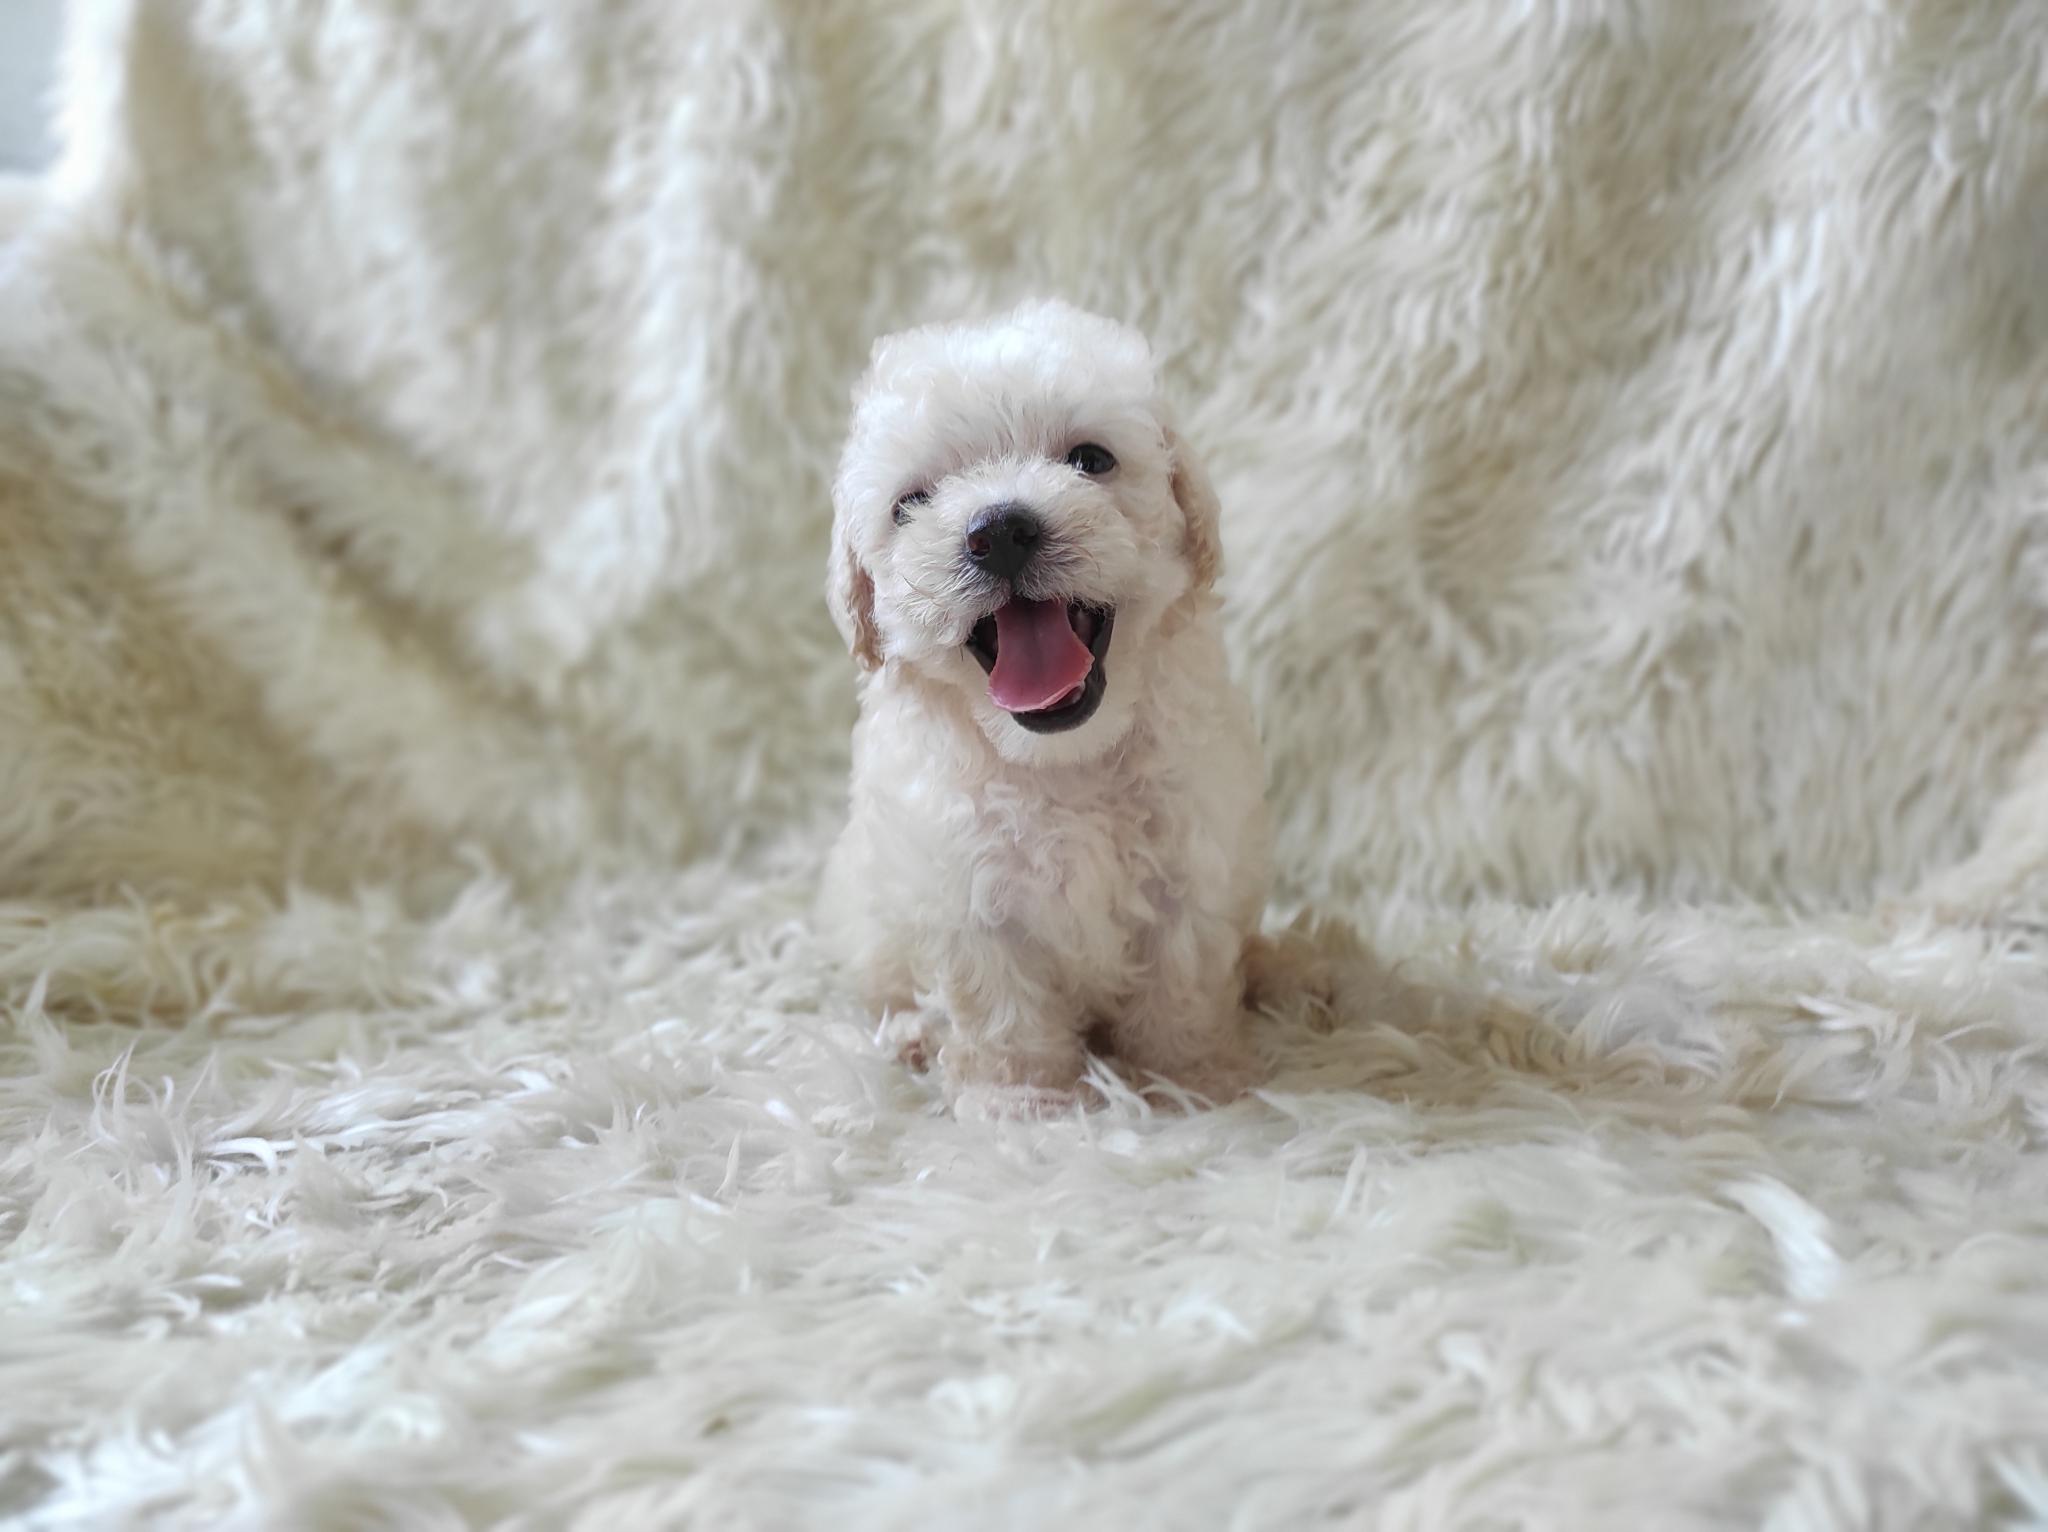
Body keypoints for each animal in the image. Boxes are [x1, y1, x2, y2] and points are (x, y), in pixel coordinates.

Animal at [818, 299, 1274, 1118]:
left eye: (1091, 460)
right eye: (912, 504)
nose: (998, 530)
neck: (1063, 762)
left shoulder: (1193, 861)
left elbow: (1183, 983)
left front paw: (1190, 1081)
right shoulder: (967, 894)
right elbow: (1002, 1008)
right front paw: (1021, 1104)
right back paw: (911, 1036)